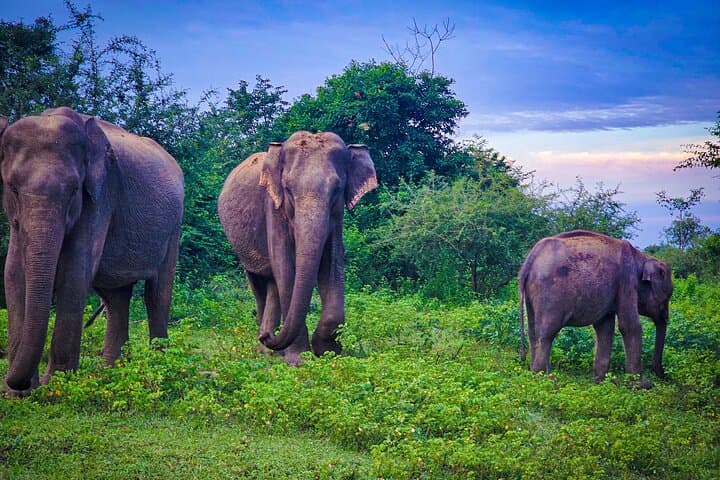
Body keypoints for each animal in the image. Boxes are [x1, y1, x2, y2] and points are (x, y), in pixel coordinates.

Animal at [0, 107, 184, 396]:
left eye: (74, 189)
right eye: (13, 188)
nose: (18, 382)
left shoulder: (100, 196)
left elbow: (75, 272)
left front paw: (58, 387)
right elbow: (14, 275)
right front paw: (19, 395)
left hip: (173, 227)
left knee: (156, 294)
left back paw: (158, 368)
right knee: (116, 297)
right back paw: (110, 373)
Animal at [218, 131, 377, 365]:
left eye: (337, 190)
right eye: (288, 189)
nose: (266, 336)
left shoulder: (336, 219)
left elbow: (332, 265)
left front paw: (328, 352)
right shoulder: (273, 208)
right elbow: (285, 269)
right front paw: (299, 360)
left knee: (272, 283)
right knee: (259, 284)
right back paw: (265, 350)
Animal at [518, 230, 673, 383]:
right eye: (668, 296)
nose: (664, 377)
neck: (641, 257)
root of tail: (530, 259)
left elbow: (605, 328)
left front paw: (600, 382)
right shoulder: (627, 281)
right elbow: (630, 326)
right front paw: (641, 385)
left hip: (533, 292)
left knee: (532, 331)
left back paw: (537, 375)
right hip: (550, 293)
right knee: (547, 333)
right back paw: (545, 378)